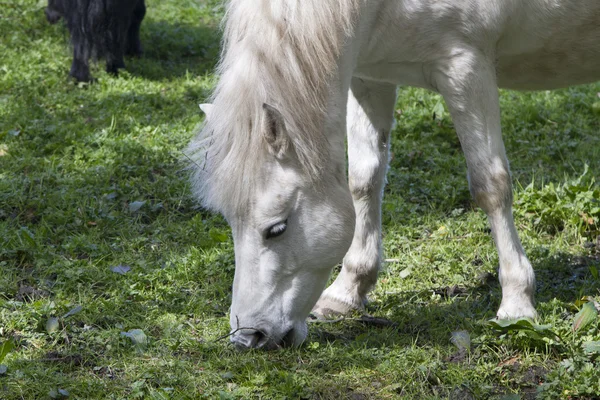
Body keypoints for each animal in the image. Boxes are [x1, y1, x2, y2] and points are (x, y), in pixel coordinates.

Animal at [190, 0, 600, 350]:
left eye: (276, 228)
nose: (249, 338)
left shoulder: (466, 68)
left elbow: (491, 185)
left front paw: (517, 303)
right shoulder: (368, 76)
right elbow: (363, 181)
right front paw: (347, 291)